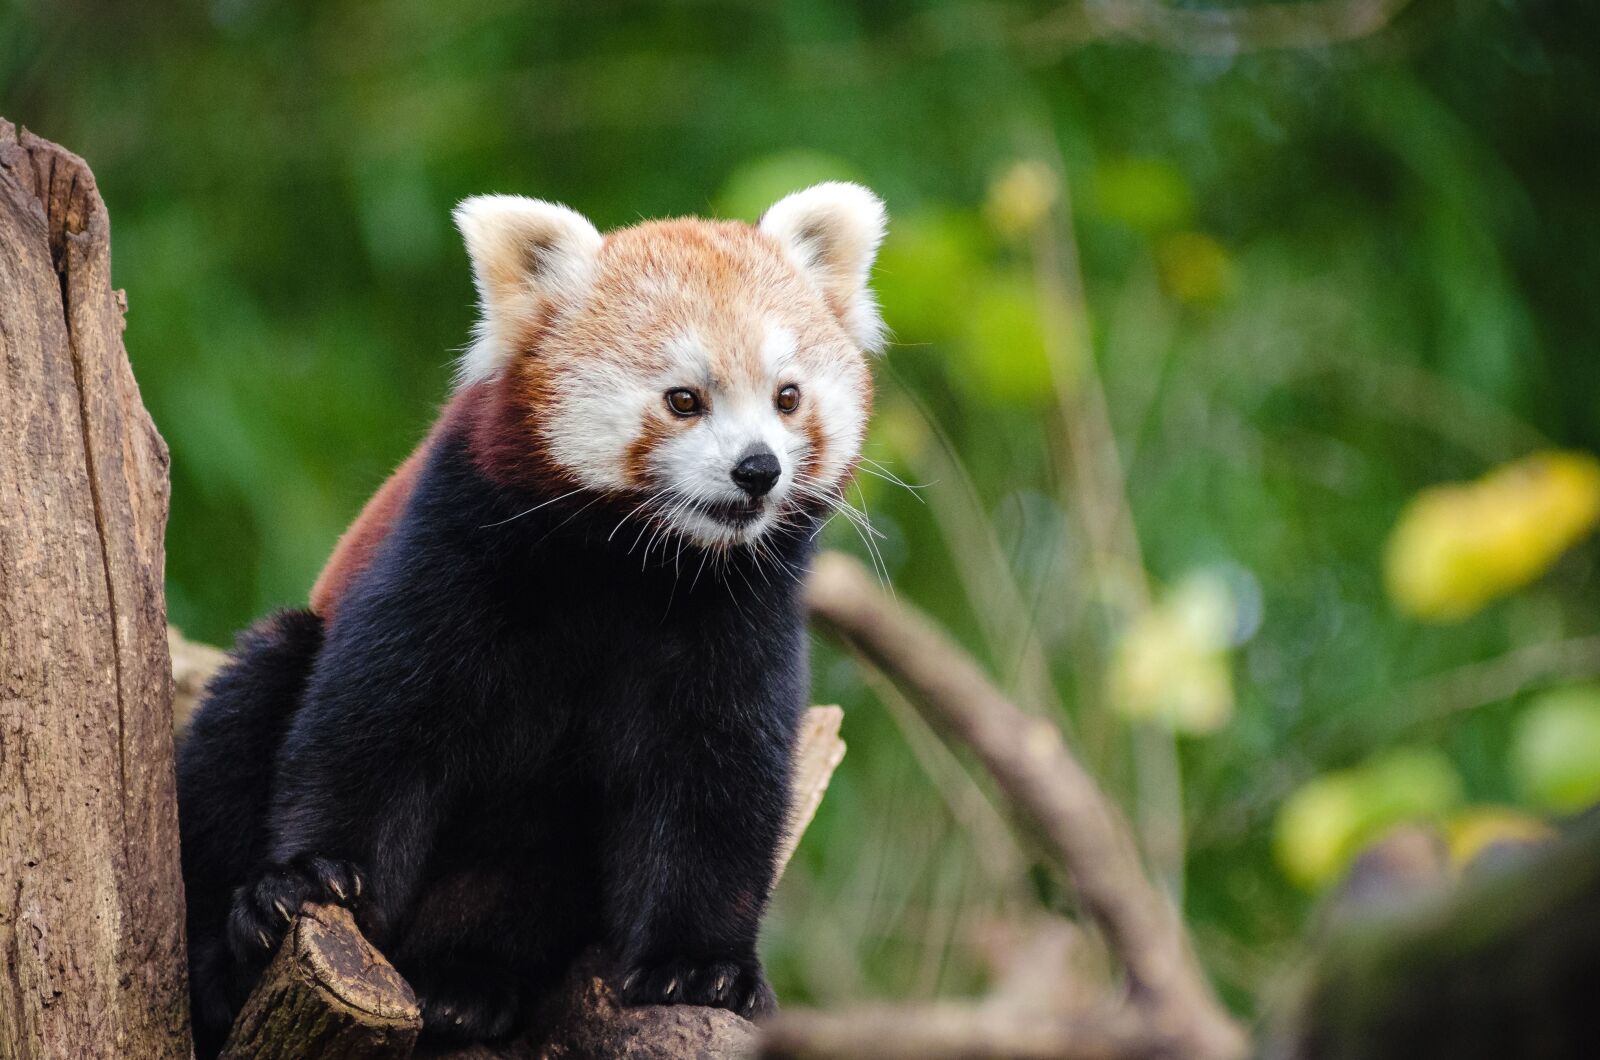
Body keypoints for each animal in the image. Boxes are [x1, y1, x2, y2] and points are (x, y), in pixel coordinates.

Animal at [176, 182, 885, 1055]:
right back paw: (230, 960)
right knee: (255, 697)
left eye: (788, 397)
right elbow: (370, 728)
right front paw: (308, 878)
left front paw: (702, 967)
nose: (758, 469)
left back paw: (465, 985)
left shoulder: (738, 616)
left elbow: (716, 782)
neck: (636, 568)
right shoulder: (456, 543)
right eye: (684, 400)